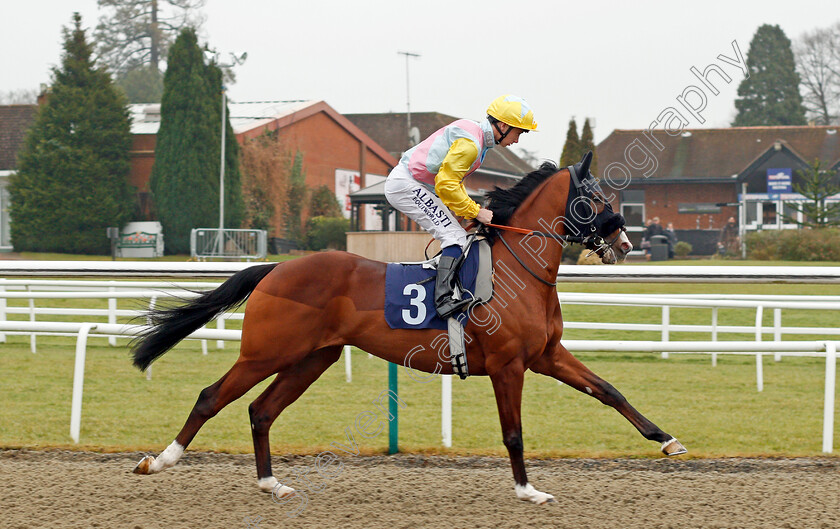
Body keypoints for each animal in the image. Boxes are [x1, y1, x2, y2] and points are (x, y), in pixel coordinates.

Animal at [130, 154, 684, 504]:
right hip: (265, 352)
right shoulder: (509, 365)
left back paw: (272, 485)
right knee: (211, 397)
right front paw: (529, 490)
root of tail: (276, 268)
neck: (518, 271)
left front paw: (666, 440)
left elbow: (608, 390)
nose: (626, 243)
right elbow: (513, 433)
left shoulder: (547, 355)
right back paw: (158, 462)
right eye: (593, 197)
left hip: (313, 358)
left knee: (261, 411)